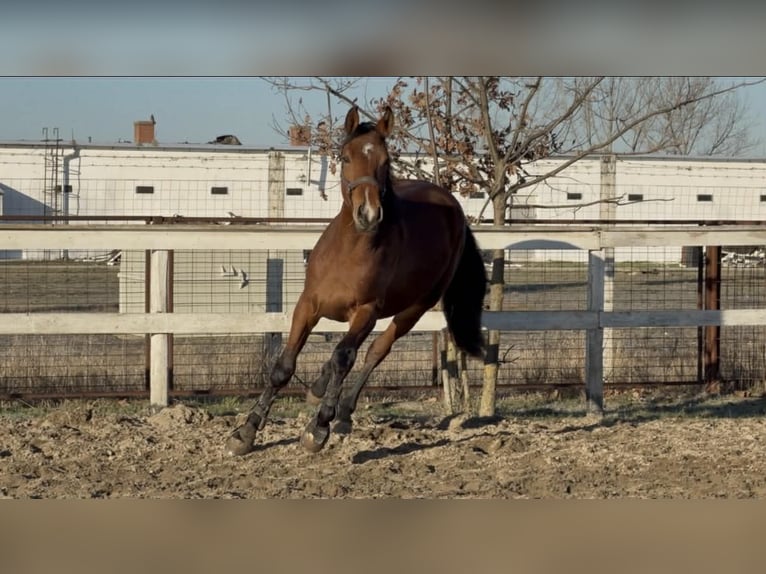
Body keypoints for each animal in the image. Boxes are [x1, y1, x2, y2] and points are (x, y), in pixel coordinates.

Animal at [225, 105, 487, 456]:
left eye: (385, 161)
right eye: (345, 157)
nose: (368, 214)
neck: (350, 251)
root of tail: (453, 206)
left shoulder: (366, 312)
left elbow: (343, 357)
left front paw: (318, 428)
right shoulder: (307, 305)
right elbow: (284, 366)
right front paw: (247, 431)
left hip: (415, 308)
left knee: (376, 351)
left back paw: (344, 413)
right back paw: (318, 390)